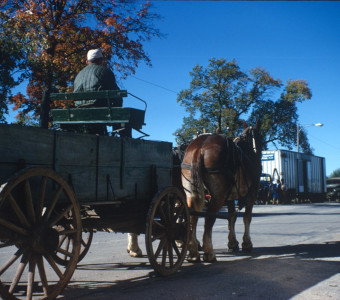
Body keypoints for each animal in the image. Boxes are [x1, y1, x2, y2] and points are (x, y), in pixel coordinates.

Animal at [182, 120, 262, 262]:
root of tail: (199, 148)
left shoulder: (230, 197)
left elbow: (232, 218)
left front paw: (233, 243)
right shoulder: (251, 195)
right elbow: (247, 217)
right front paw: (246, 243)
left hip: (191, 193)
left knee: (192, 216)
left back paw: (193, 251)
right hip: (218, 196)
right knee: (209, 218)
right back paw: (209, 252)